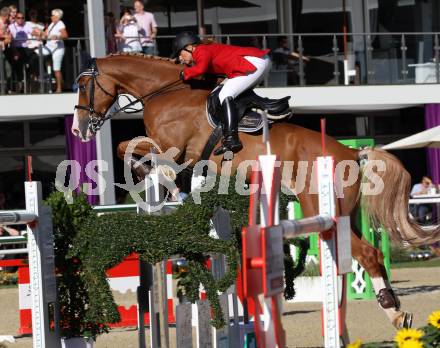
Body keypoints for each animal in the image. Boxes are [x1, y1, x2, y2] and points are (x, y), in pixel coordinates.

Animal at [72, 53, 440, 330]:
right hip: (342, 215)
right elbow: (127, 147)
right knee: (365, 255)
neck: (164, 92)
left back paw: (389, 315)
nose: (78, 130)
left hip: (323, 211)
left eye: (83, 86)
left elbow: (129, 147)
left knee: (368, 256)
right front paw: (160, 179)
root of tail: (351, 152)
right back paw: (387, 310)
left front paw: (157, 175)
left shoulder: (173, 148)